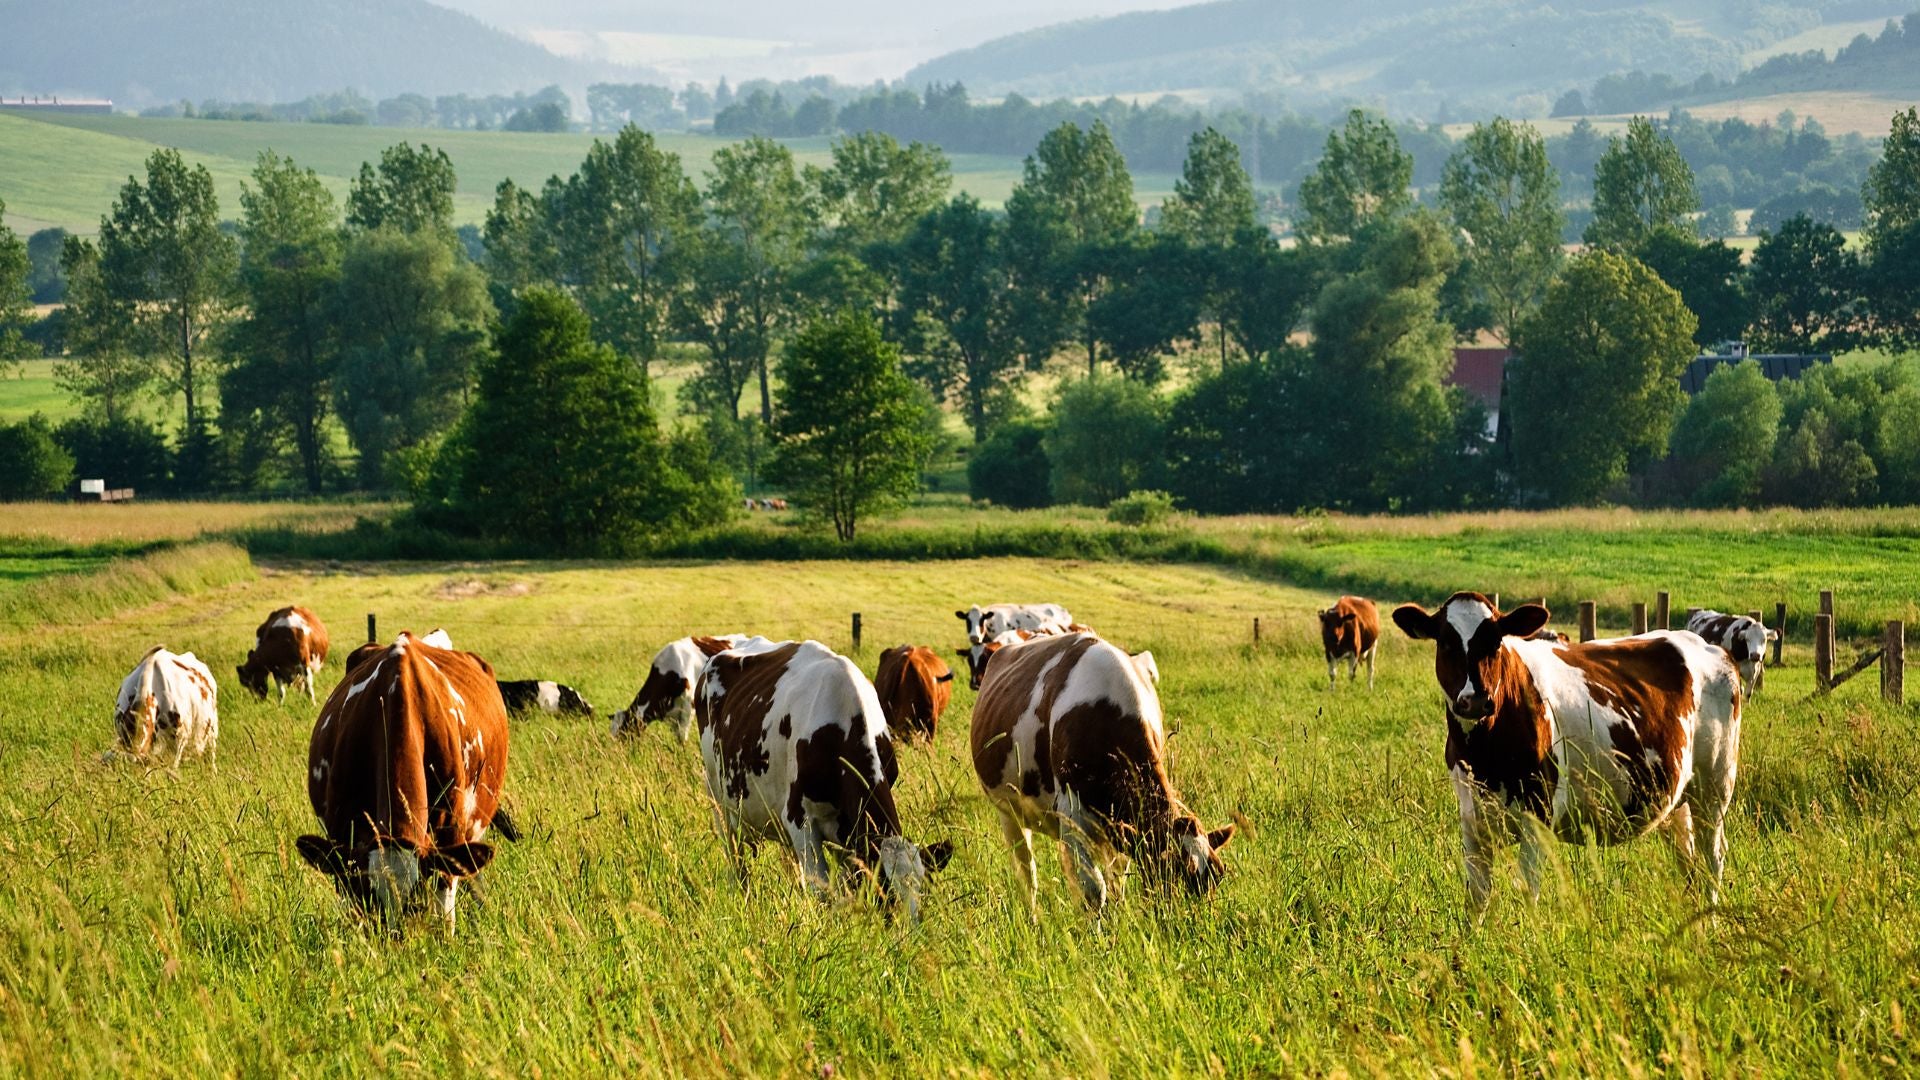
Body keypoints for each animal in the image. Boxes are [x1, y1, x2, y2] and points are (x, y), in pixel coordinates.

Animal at [297, 626, 510, 930]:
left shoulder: (449, 833)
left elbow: (445, 910)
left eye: (415, 900)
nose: (395, 938)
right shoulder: (342, 836)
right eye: (368, 896)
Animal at [698, 634, 952, 922]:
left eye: (923, 891)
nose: (910, 932)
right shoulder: (800, 819)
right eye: (886, 890)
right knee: (736, 859)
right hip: (717, 798)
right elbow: (821, 892)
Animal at [967, 626, 1236, 910]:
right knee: (1027, 876)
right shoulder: (1071, 818)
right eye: (1170, 872)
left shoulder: (1122, 829)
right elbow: (1094, 890)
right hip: (1009, 812)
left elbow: (1117, 882)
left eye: (1218, 876)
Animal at [1390, 591, 1751, 910]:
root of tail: (1707, 646)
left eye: (1495, 642)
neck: (1484, 755)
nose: (1475, 700)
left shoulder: (1538, 814)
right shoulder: (1472, 819)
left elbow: (1528, 892)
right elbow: (1477, 897)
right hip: (1677, 799)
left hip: (1714, 788)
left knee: (1713, 858)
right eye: (1447, 643)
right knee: (1687, 861)